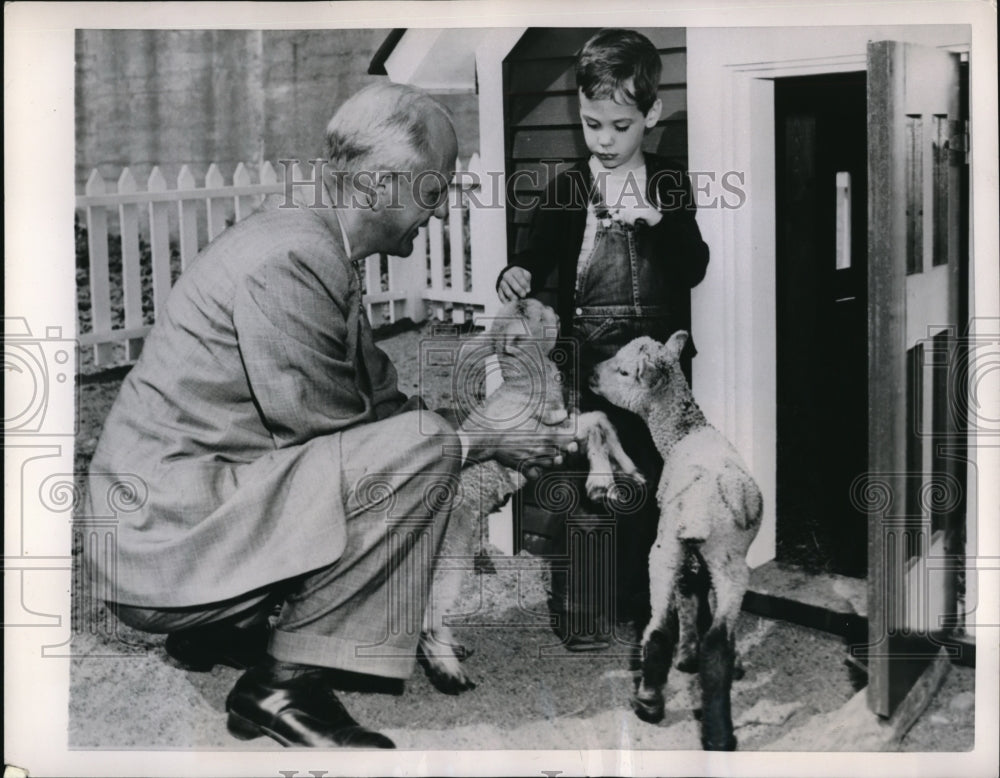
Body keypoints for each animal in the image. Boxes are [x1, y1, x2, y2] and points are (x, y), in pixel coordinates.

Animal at [588, 330, 760, 748]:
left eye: (623, 370)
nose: (591, 374)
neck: (686, 430)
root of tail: (700, 507)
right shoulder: (698, 553)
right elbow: (698, 599)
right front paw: (694, 658)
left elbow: (692, 598)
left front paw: (689, 658)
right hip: (721, 559)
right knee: (709, 639)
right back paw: (714, 730)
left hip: (669, 548)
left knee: (661, 626)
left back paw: (653, 702)